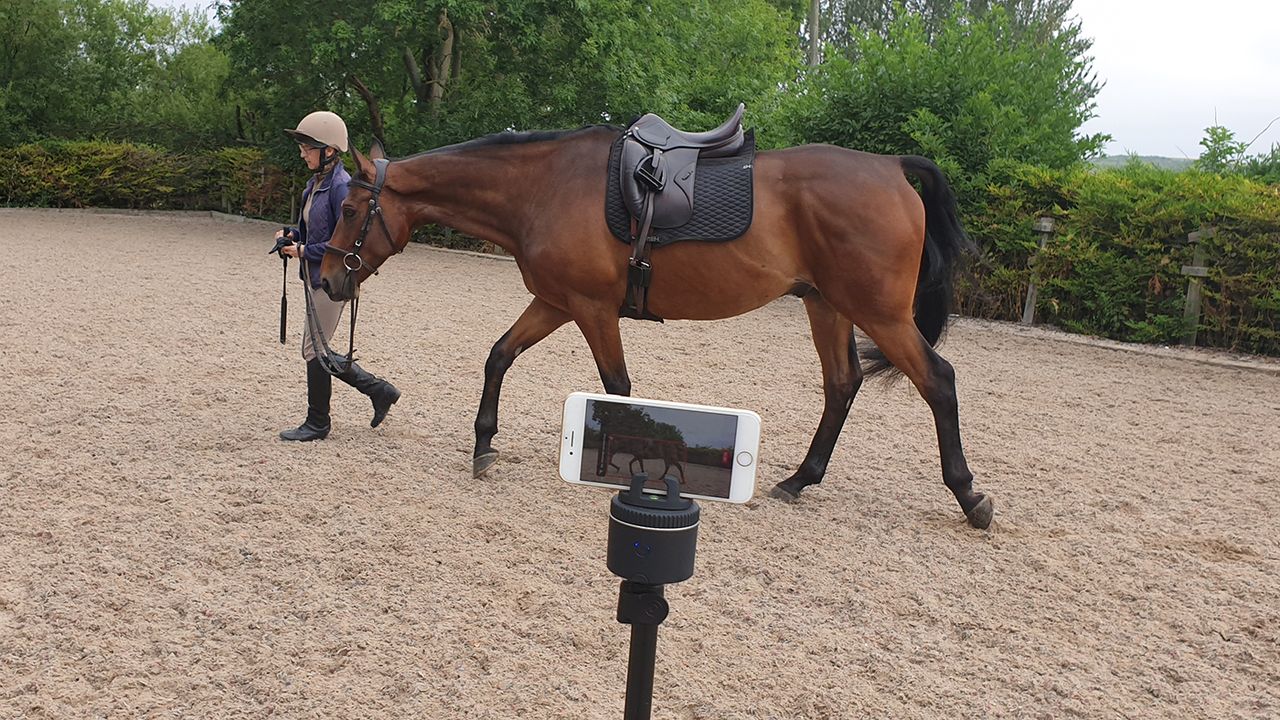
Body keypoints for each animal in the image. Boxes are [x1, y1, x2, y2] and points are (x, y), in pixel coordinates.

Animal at [317, 126, 994, 529]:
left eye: (348, 208)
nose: (325, 280)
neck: (544, 187)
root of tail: (891, 167)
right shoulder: (556, 303)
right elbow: (498, 356)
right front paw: (484, 443)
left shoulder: (591, 310)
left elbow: (617, 388)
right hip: (826, 305)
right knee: (842, 384)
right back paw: (800, 479)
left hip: (880, 314)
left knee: (938, 380)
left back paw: (969, 496)